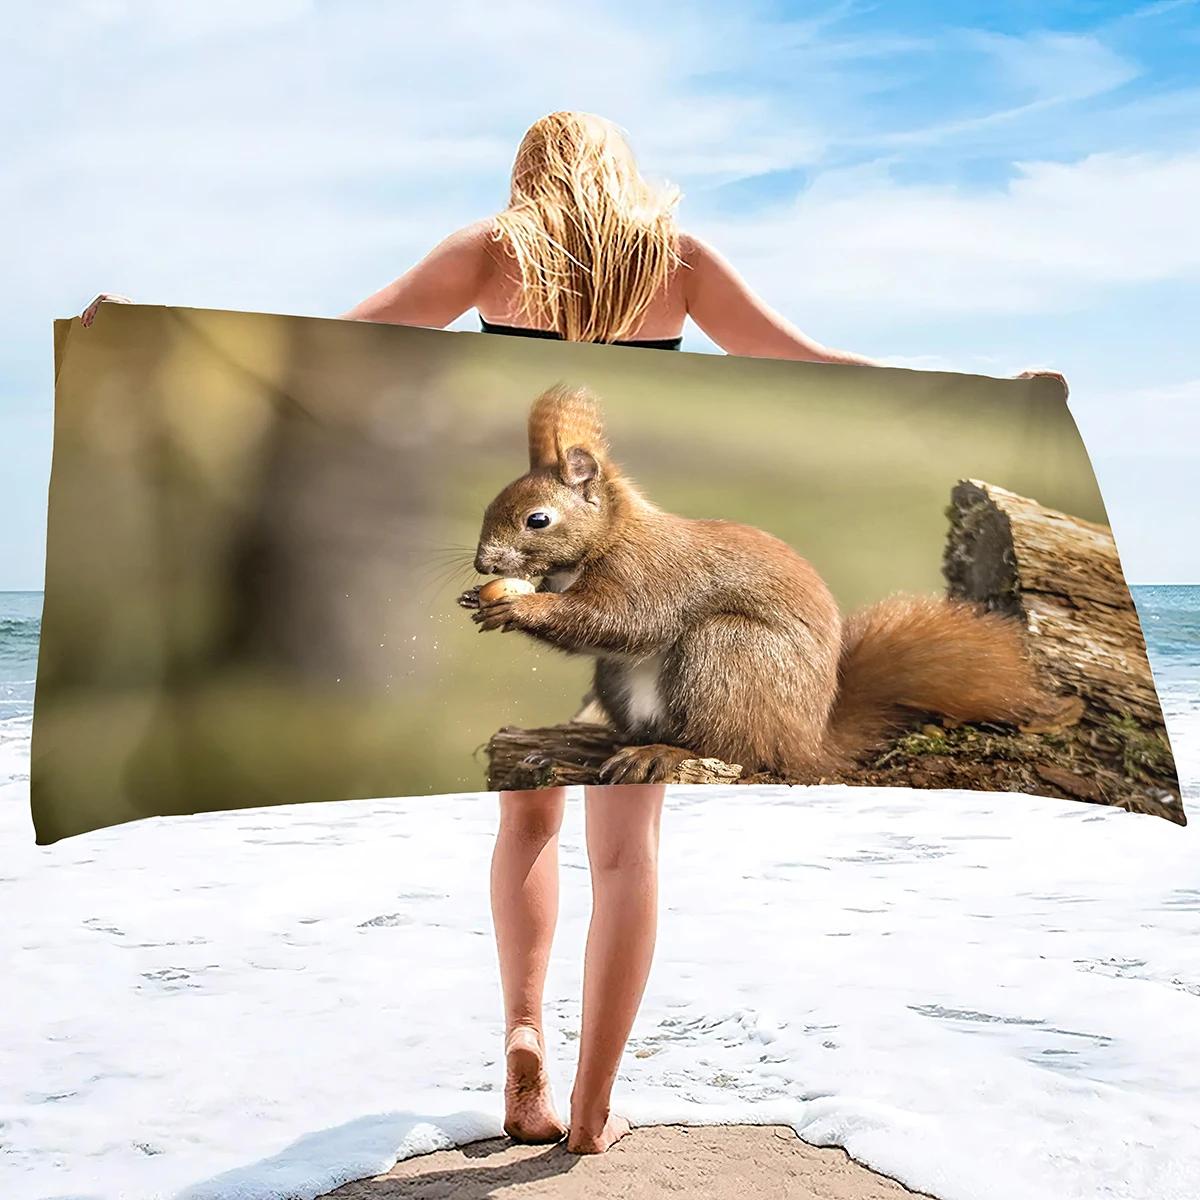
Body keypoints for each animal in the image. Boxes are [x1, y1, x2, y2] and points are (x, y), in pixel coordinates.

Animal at [458, 383, 1050, 785]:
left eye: (537, 520)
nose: (484, 564)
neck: (604, 541)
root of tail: (807, 746)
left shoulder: (651, 575)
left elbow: (623, 621)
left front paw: (520, 609)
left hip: (728, 652)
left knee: (734, 751)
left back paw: (665, 756)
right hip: (627, 681)